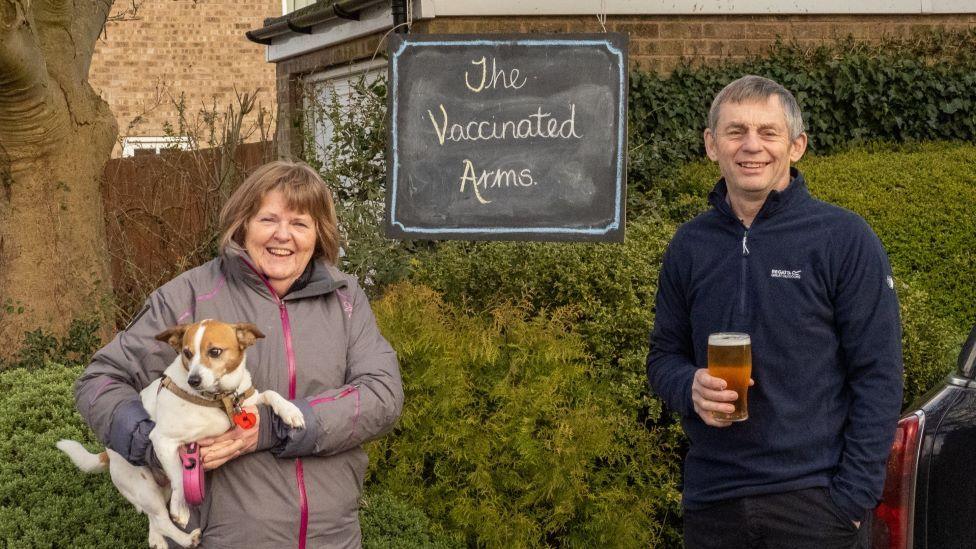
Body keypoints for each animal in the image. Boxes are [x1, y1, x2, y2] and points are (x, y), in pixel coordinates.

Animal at [57, 318, 304, 544]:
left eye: (214, 351)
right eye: (187, 352)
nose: (193, 380)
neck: (217, 398)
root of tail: (108, 453)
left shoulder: (246, 400)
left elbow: (271, 394)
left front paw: (290, 412)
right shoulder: (162, 440)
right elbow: (178, 474)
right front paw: (181, 508)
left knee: (155, 523)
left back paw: (158, 542)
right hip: (144, 487)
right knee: (162, 520)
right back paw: (187, 539)